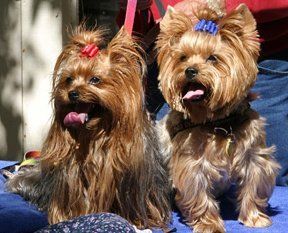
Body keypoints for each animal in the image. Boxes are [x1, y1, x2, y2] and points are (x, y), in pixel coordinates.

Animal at [156, 3, 280, 233]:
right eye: (182, 58)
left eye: (213, 58)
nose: (190, 70)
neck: (218, 122)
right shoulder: (192, 164)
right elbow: (199, 194)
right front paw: (209, 224)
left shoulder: (254, 158)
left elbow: (252, 185)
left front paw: (255, 217)